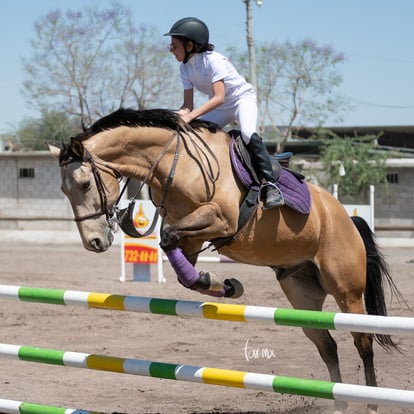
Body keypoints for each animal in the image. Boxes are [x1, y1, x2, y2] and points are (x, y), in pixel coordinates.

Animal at [49, 107, 402, 414]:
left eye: (83, 184)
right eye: (63, 190)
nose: (94, 243)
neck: (177, 162)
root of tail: (346, 218)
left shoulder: (221, 220)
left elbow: (170, 238)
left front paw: (222, 283)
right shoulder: (191, 238)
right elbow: (177, 256)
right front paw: (222, 284)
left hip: (346, 290)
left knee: (363, 341)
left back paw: (371, 402)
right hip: (301, 291)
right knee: (326, 344)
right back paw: (338, 402)